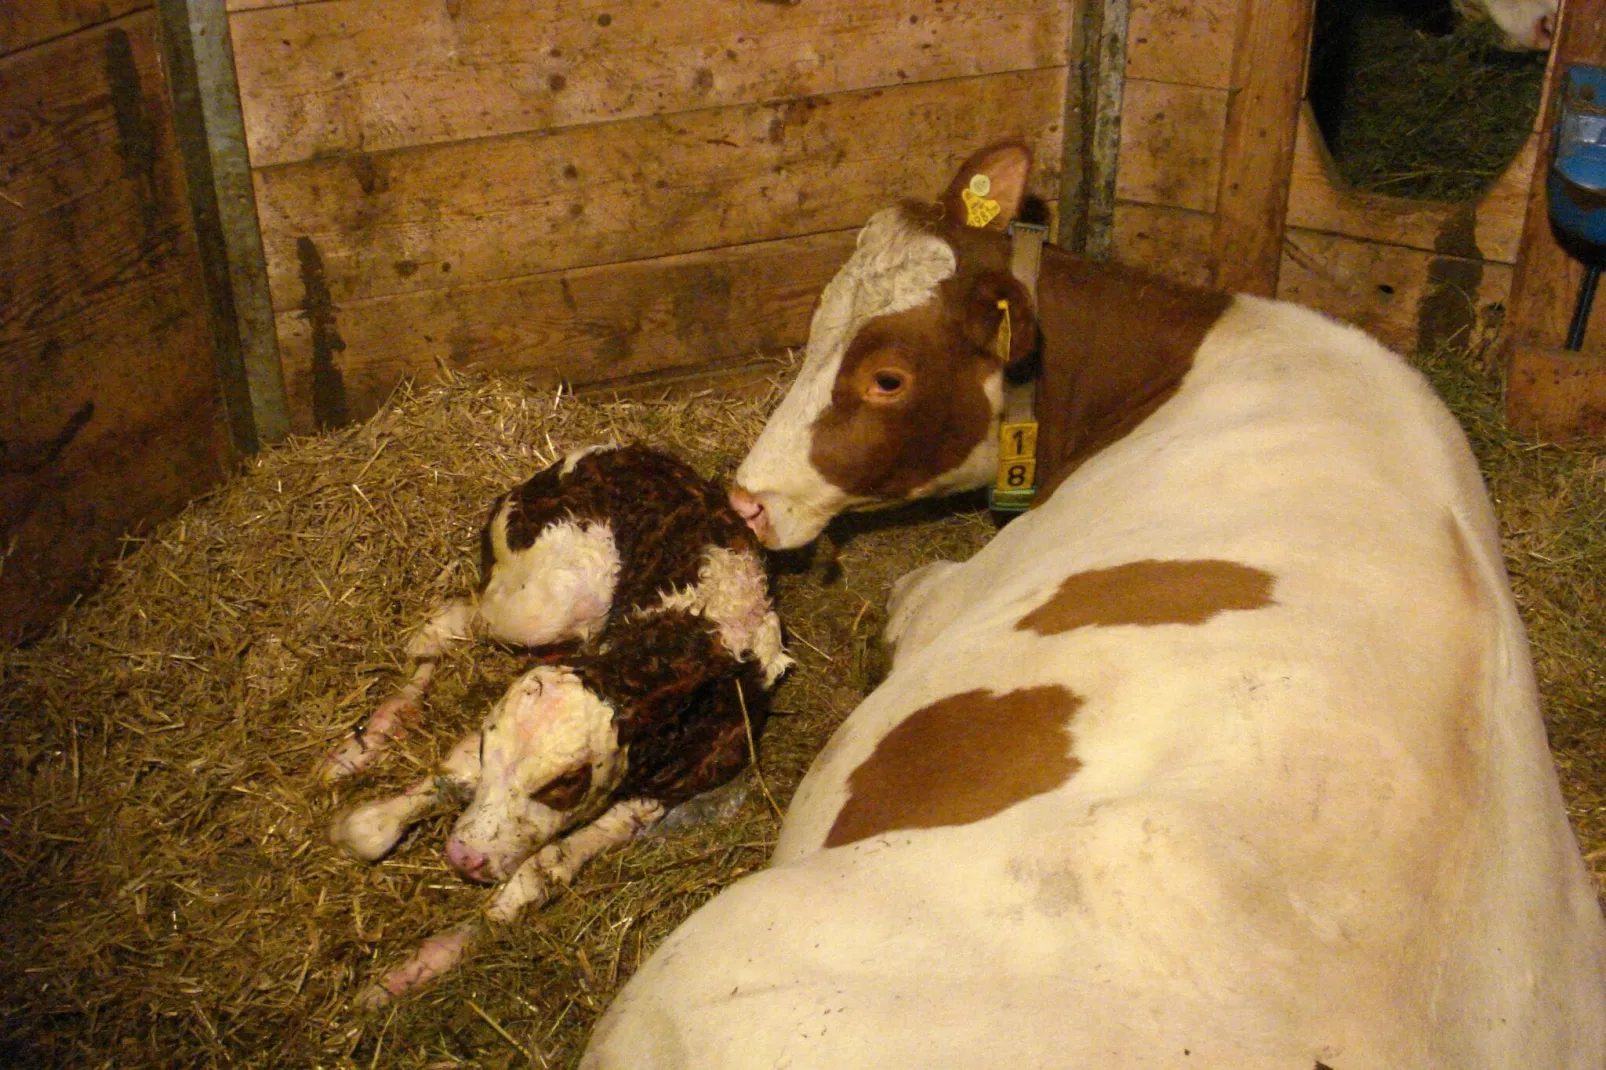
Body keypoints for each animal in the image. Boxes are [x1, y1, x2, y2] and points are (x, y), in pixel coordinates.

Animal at [327, 440, 790, 1002]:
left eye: (567, 782)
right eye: (485, 749)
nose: (462, 857)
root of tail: (617, 450)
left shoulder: (677, 785)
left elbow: (538, 874)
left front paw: (417, 967)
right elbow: (441, 781)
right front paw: (369, 822)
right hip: (540, 604)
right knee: (446, 626)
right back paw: (362, 744)